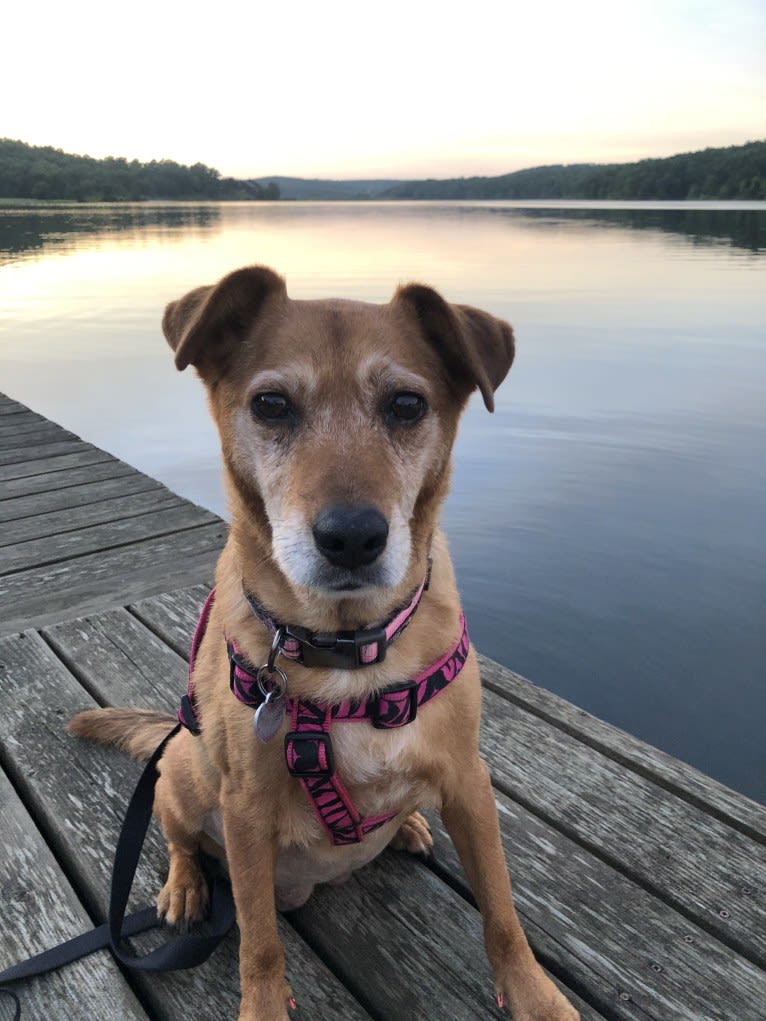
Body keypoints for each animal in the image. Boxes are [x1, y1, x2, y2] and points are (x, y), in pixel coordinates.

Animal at [72, 265, 580, 1021]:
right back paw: (187, 885)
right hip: (186, 775)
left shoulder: (468, 780)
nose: (351, 536)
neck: (350, 646)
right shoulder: (246, 810)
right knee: (179, 838)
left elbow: (501, 909)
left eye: (406, 404)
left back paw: (406, 823)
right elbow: (258, 942)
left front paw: (533, 995)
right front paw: (261, 1005)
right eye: (271, 404)